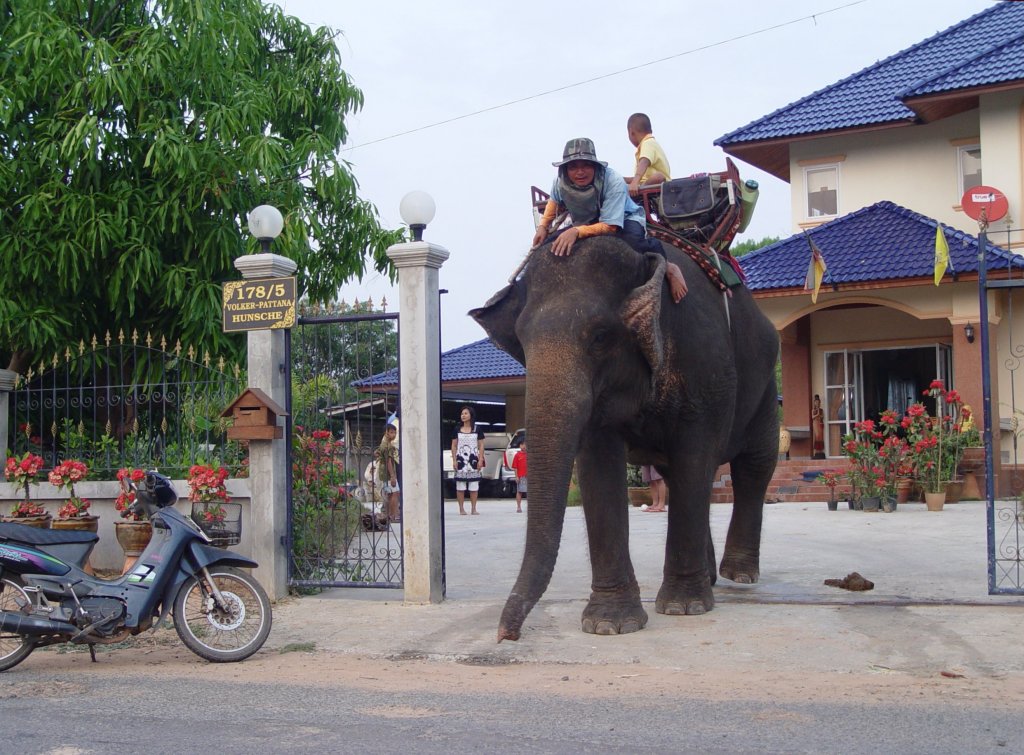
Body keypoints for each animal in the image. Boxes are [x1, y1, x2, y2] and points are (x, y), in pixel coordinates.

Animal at [468, 232, 774, 639]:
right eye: (520, 338)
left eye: (600, 336)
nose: (507, 635)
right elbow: (600, 468)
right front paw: (610, 624)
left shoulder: (705, 370)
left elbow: (694, 456)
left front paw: (683, 608)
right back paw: (710, 577)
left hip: (766, 387)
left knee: (753, 468)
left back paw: (738, 575)